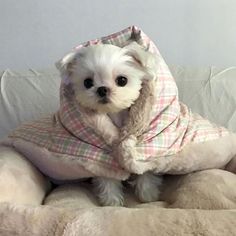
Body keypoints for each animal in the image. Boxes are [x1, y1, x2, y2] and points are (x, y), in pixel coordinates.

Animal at [58, 43, 162, 206]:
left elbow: (144, 171)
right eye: (87, 82)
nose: (102, 89)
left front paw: (148, 195)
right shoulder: (104, 161)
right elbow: (108, 179)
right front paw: (112, 202)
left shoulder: (144, 154)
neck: (115, 115)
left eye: (122, 80)